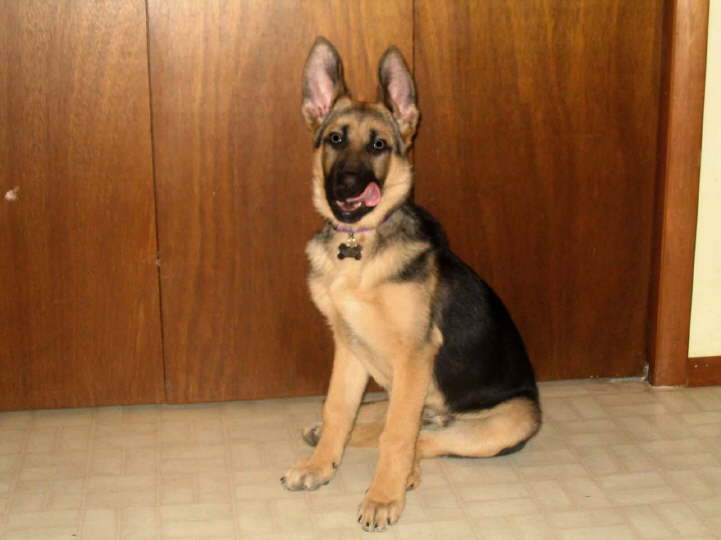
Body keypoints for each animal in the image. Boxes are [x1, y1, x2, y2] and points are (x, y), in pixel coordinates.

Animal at [281, 37, 541, 532]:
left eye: (379, 145)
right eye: (335, 139)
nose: (346, 188)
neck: (359, 248)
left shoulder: (415, 353)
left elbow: (397, 436)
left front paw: (384, 496)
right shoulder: (348, 347)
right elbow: (338, 408)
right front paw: (320, 466)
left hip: (509, 420)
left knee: (421, 437)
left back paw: (409, 472)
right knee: (376, 418)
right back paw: (323, 436)